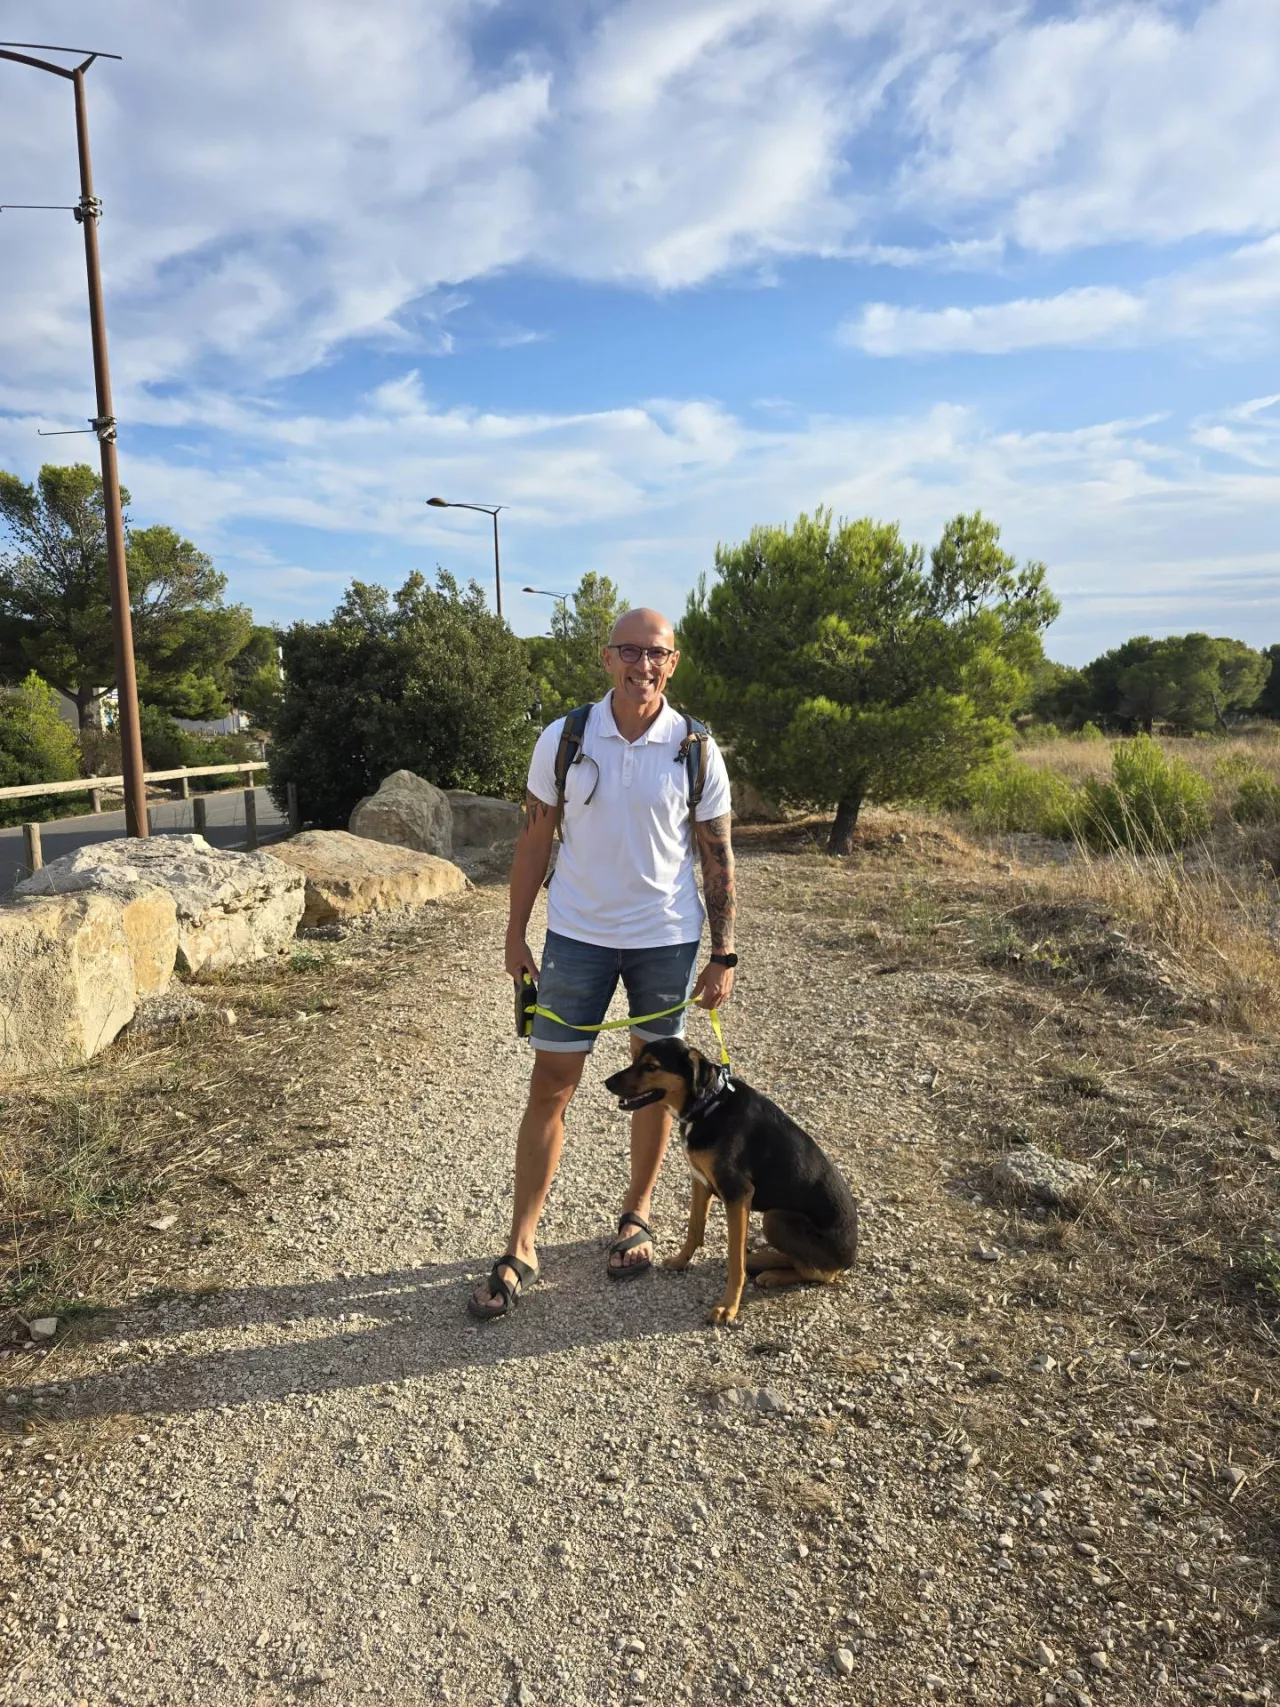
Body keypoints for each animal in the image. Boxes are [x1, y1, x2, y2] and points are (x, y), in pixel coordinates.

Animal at [604, 1038, 858, 1324]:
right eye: (636, 1058)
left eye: (651, 1066)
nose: (607, 1083)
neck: (708, 1104)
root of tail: (850, 1259)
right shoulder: (700, 1181)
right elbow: (694, 1230)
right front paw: (680, 1262)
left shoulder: (738, 1194)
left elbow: (735, 1261)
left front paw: (728, 1307)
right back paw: (763, 1260)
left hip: (776, 1218)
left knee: (820, 1273)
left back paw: (772, 1273)